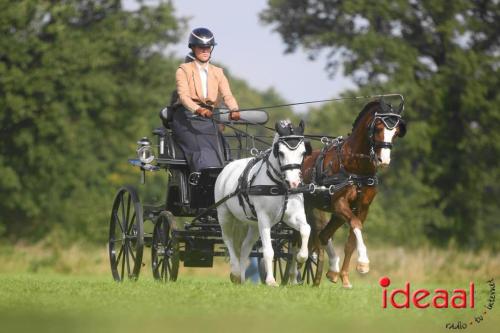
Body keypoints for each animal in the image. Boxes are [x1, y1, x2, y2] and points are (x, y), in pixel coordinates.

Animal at [216, 119, 310, 286]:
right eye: (281, 152)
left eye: (303, 153)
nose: (293, 183)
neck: (280, 186)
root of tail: (227, 167)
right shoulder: (264, 218)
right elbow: (268, 251)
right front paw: (271, 281)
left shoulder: (293, 216)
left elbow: (306, 229)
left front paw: (300, 258)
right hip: (224, 214)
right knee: (228, 240)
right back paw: (235, 272)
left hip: (254, 225)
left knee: (245, 247)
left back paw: (241, 278)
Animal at [300, 98, 406, 286]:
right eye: (378, 128)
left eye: (395, 132)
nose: (384, 160)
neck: (354, 167)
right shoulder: (340, 202)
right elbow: (356, 225)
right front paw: (364, 262)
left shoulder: (362, 207)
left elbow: (351, 240)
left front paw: (345, 277)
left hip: (333, 213)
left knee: (323, 235)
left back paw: (332, 269)